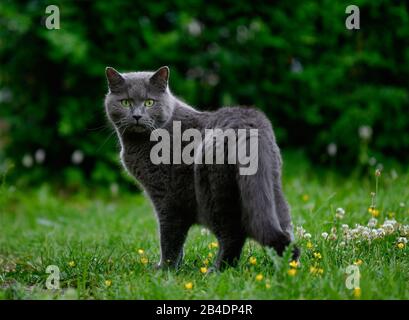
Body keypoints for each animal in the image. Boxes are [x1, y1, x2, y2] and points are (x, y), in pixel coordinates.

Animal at [103, 65, 298, 270]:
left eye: (149, 102)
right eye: (126, 102)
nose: (137, 116)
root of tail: (247, 124)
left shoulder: (167, 199)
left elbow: (169, 238)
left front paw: (165, 269)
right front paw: (175, 267)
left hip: (213, 194)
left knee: (233, 235)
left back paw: (217, 270)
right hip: (270, 185)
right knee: (281, 227)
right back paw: (288, 266)